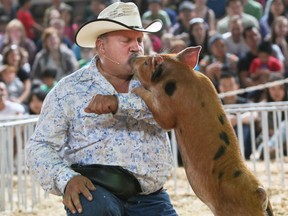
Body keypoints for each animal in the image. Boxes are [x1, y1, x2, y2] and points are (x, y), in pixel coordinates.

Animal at [132, 46, 274, 216]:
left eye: (146, 63)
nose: (134, 58)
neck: (179, 75)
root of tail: (260, 195)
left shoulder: (166, 108)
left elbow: (163, 117)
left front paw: (135, 89)